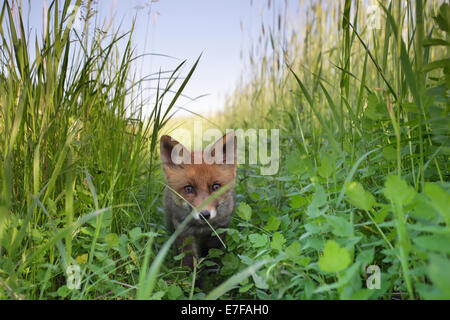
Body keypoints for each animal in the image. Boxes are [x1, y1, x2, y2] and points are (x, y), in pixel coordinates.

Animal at [160, 132, 237, 270]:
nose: (204, 215)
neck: (202, 228)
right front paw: (193, 276)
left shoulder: (219, 230)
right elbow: (190, 262)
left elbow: (212, 257)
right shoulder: (184, 232)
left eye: (215, 187)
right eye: (188, 189)